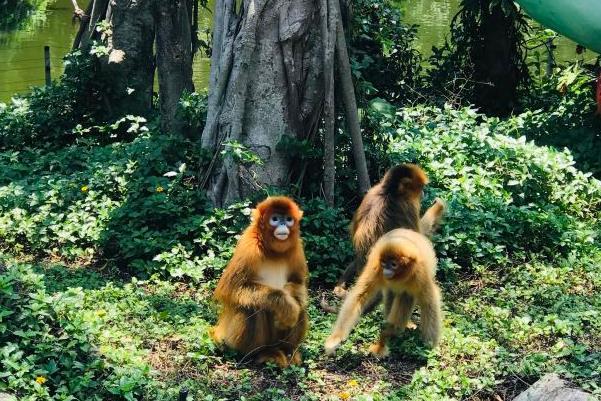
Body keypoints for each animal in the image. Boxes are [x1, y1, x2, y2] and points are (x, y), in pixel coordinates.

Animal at [210, 195, 304, 368]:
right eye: (275, 219)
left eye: (288, 219)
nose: (282, 224)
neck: (273, 252)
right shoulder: (249, 246)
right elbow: (229, 289)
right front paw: (286, 304)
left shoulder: (297, 248)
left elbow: (298, 283)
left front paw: (289, 291)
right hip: (232, 339)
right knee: (252, 306)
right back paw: (260, 354)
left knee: (301, 302)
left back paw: (287, 350)